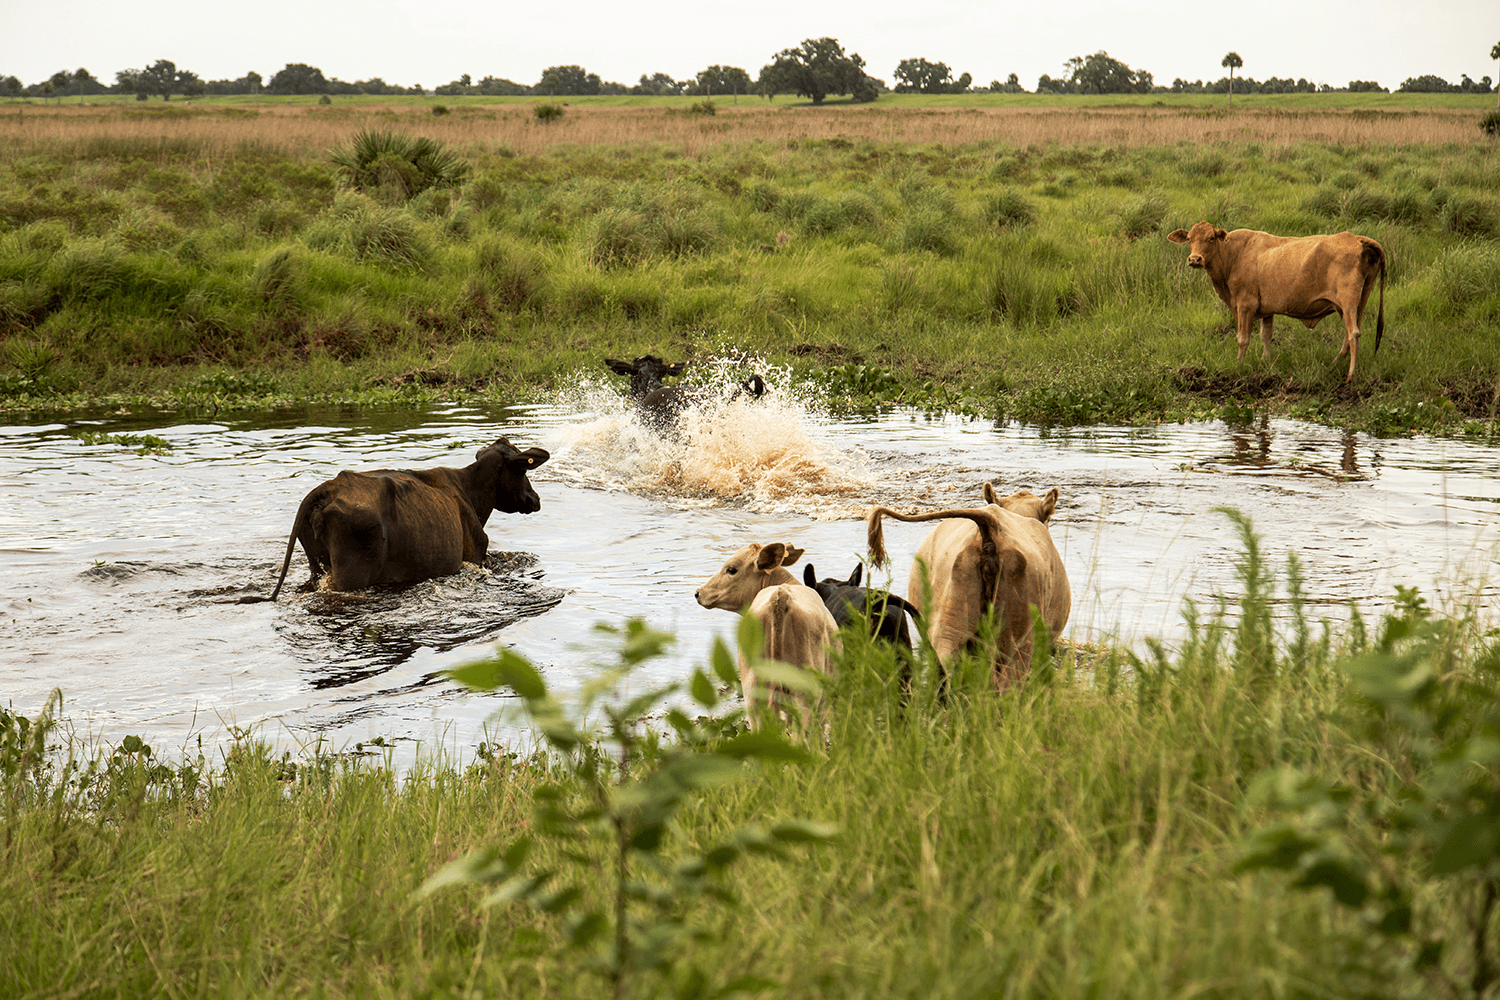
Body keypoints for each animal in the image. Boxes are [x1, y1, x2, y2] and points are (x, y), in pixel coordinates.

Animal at [249, 437, 549, 602]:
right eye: (524, 469)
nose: (535, 498)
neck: (470, 492)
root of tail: (330, 487)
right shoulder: (475, 555)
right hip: (351, 574)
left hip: (318, 566)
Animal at [1164, 220, 1386, 380]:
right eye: (1189, 239)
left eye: (1211, 238)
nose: (1195, 259)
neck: (1233, 255)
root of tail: (1356, 239)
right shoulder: (1267, 309)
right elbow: (1266, 335)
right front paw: (1266, 363)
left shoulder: (1245, 304)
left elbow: (1243, 339)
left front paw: (1238, 364)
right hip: (1360, 301)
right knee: (1350, 334)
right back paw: (1333, 365)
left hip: (1348, 300)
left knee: (1353, 334)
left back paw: (1350, 376)